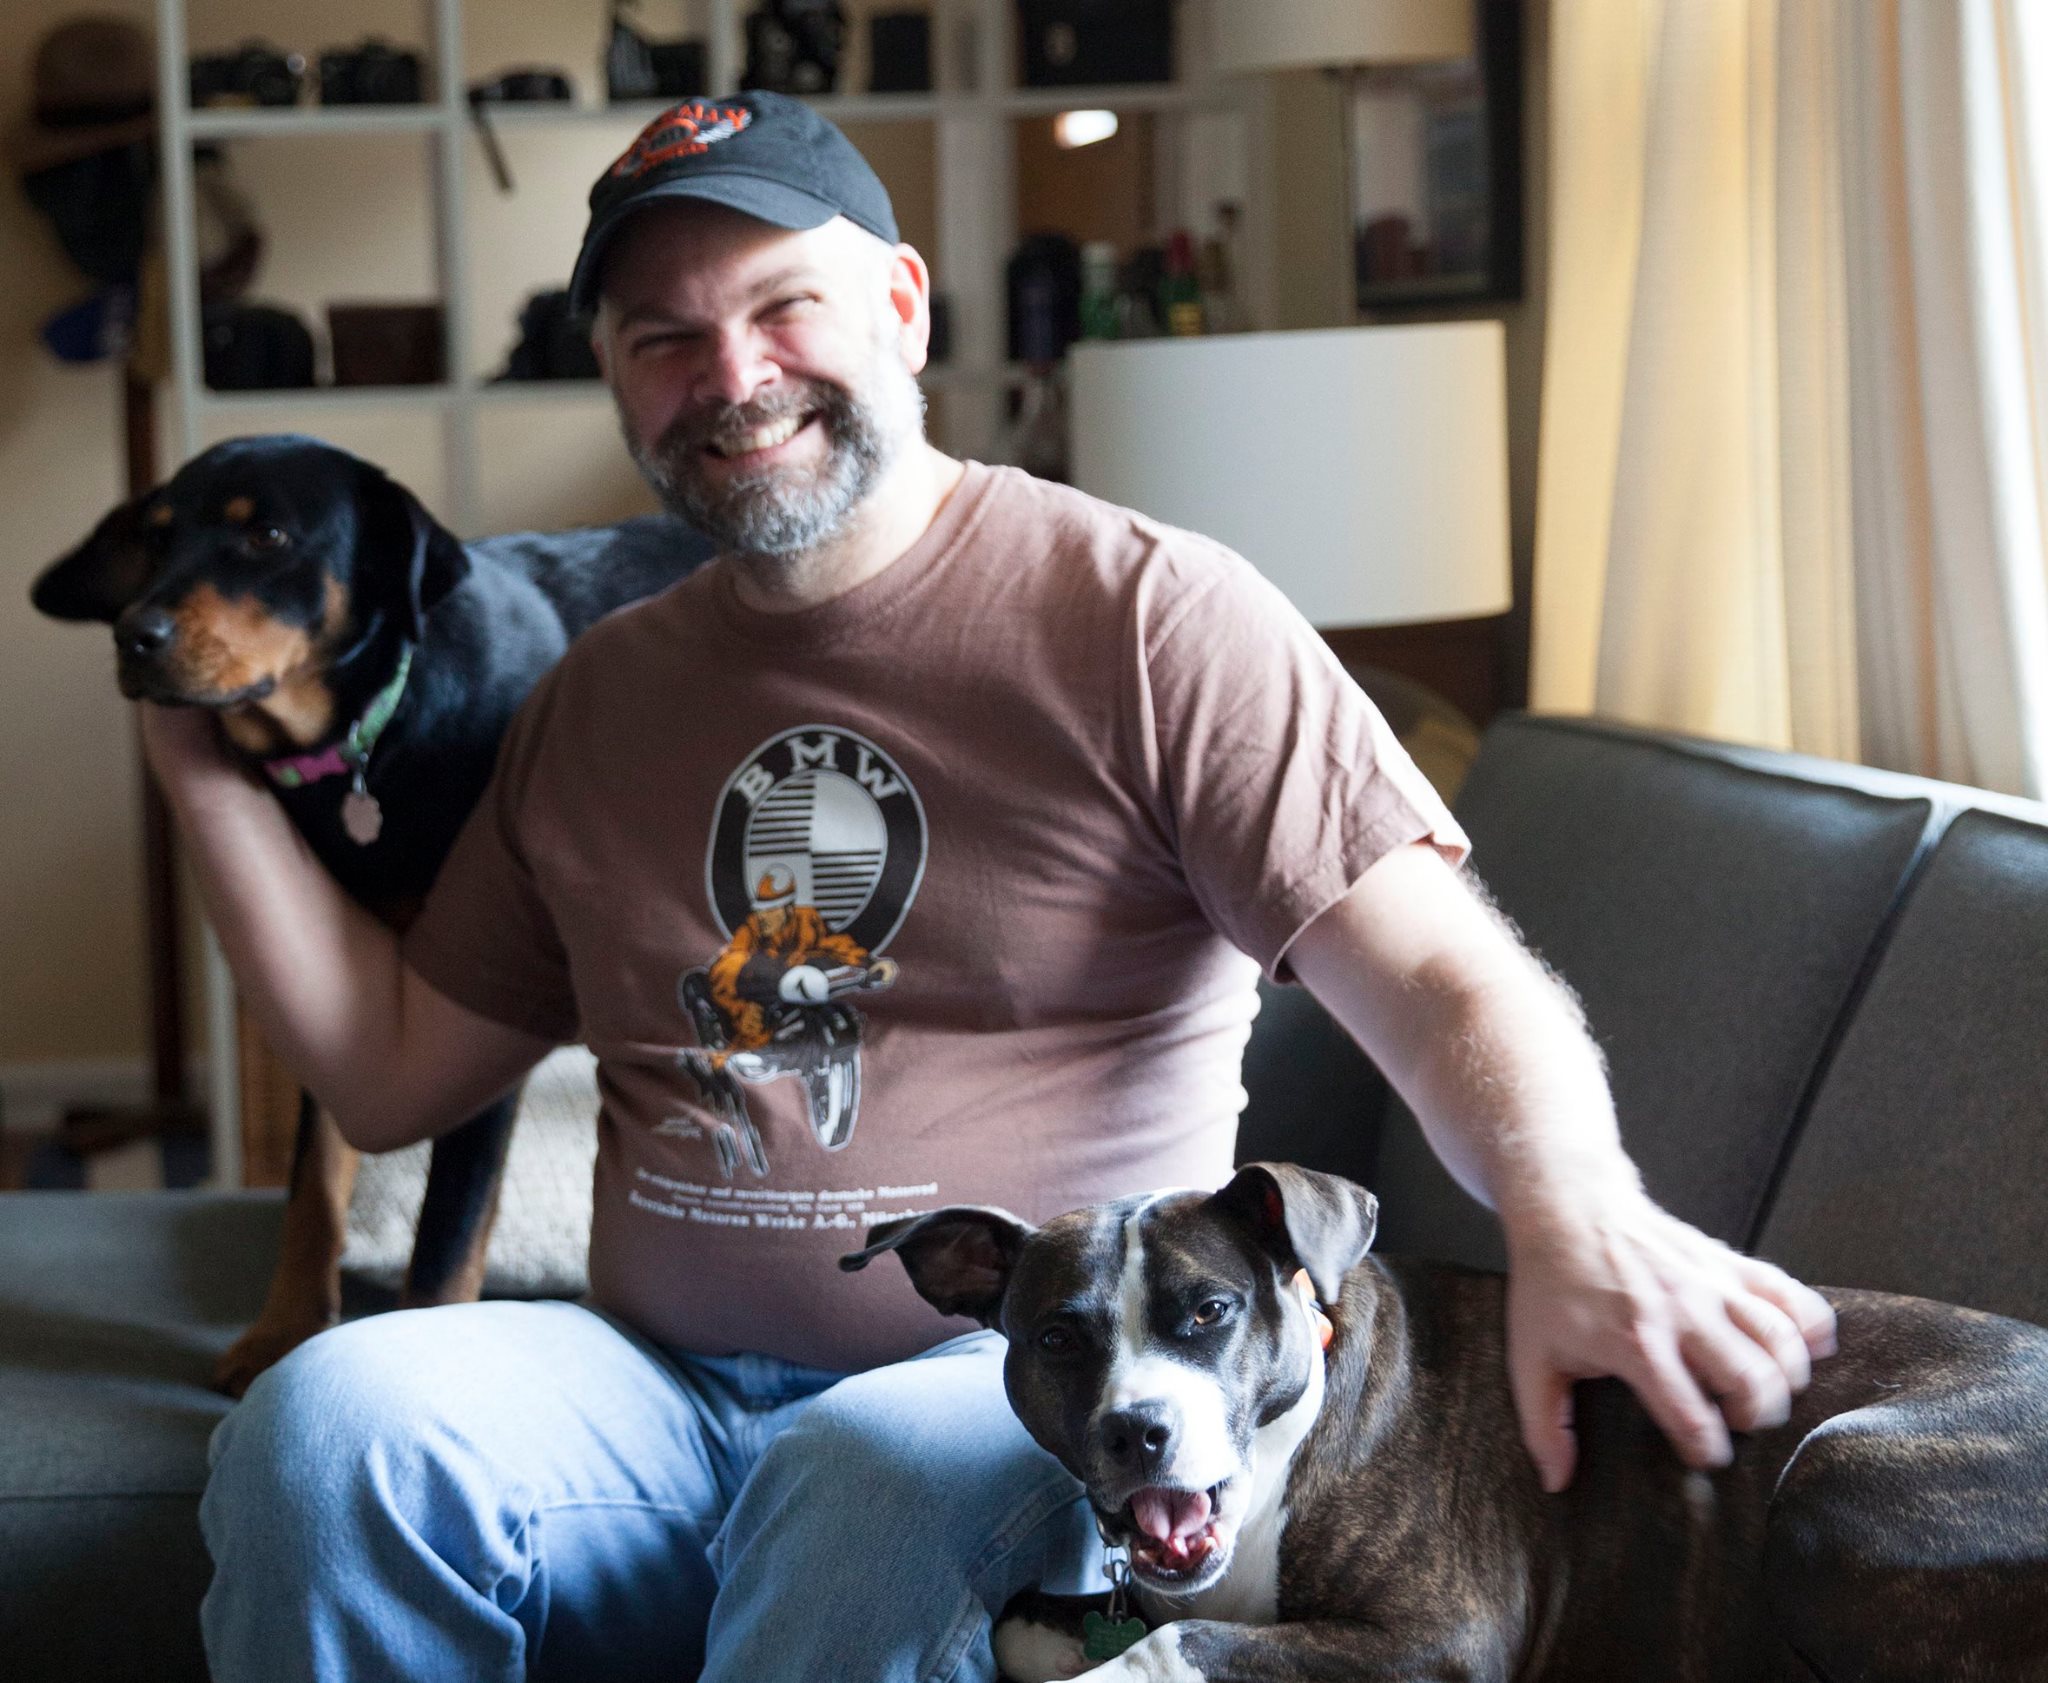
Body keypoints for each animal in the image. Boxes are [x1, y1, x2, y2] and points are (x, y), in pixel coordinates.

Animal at [34, 434, 712, 1400]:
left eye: (267, 535)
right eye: (156, 538)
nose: (135, 633)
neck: (369, 737)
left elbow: (446, 1231)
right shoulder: (339, 1003)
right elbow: (312, 1188)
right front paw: (282, 1330)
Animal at [843, 1162, 2048, 1683]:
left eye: (1210, 1311)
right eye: (1055, 1337)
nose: (1137, 1431)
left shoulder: (1439, 1636)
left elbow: (1178, 1643)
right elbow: (1030, 1620)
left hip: (1831, 1476)